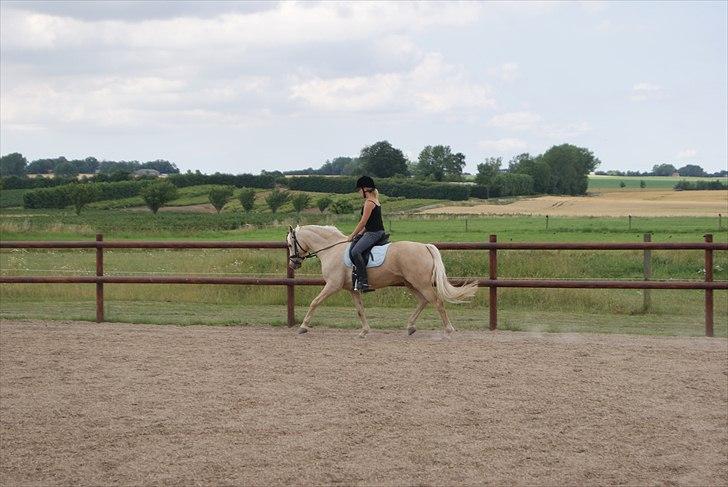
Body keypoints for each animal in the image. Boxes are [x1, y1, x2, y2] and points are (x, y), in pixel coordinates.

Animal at [287, 225, 478, 338]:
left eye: (290, 244)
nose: (293, 263)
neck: (332, 249)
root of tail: (424, 246)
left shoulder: (333, 285)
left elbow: (315, 302)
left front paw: (303, 327)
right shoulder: (352, 289)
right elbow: (360, 310)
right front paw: (364, 331)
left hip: (420, 283)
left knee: (437, 302)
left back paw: (448, 330)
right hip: (411, 283)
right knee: (424, 301)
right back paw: (410, 327)